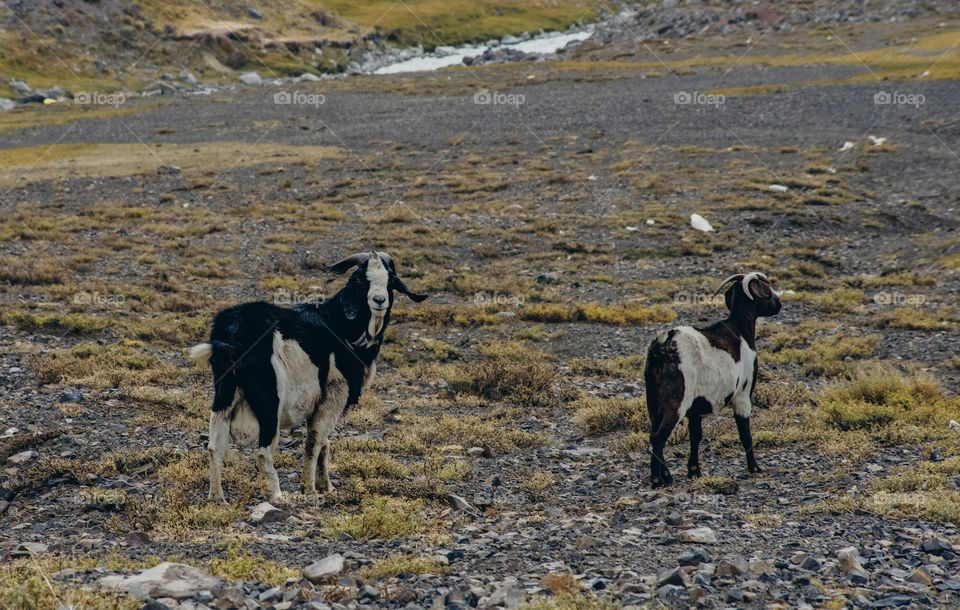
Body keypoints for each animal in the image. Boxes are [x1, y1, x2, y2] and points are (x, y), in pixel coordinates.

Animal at [189, 249, 426, 502]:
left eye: (391, 281)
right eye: (360, 280)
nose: (379, 300)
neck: (340, 327)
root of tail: (232, 335)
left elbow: (324, 444)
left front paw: (326, 486)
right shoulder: (333, 395)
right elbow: (315, 442)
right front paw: (310, 488)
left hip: (224, 394)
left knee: (214, 447)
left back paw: (218, 498)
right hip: (270, 397)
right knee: (264, 451)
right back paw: (276, 495)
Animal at [644, 270, 780, 484]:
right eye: (766, 290)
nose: (778, 304)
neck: (740, 331)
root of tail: (663, 345)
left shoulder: (695, 409)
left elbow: (695, 436)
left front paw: (694, 471)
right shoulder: (742, 395)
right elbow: (745, 434)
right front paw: (755, 468)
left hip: (653, 400)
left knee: (654, 432)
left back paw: (666, 476)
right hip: (676, 400)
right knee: (658, 437)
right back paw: (658, 480)